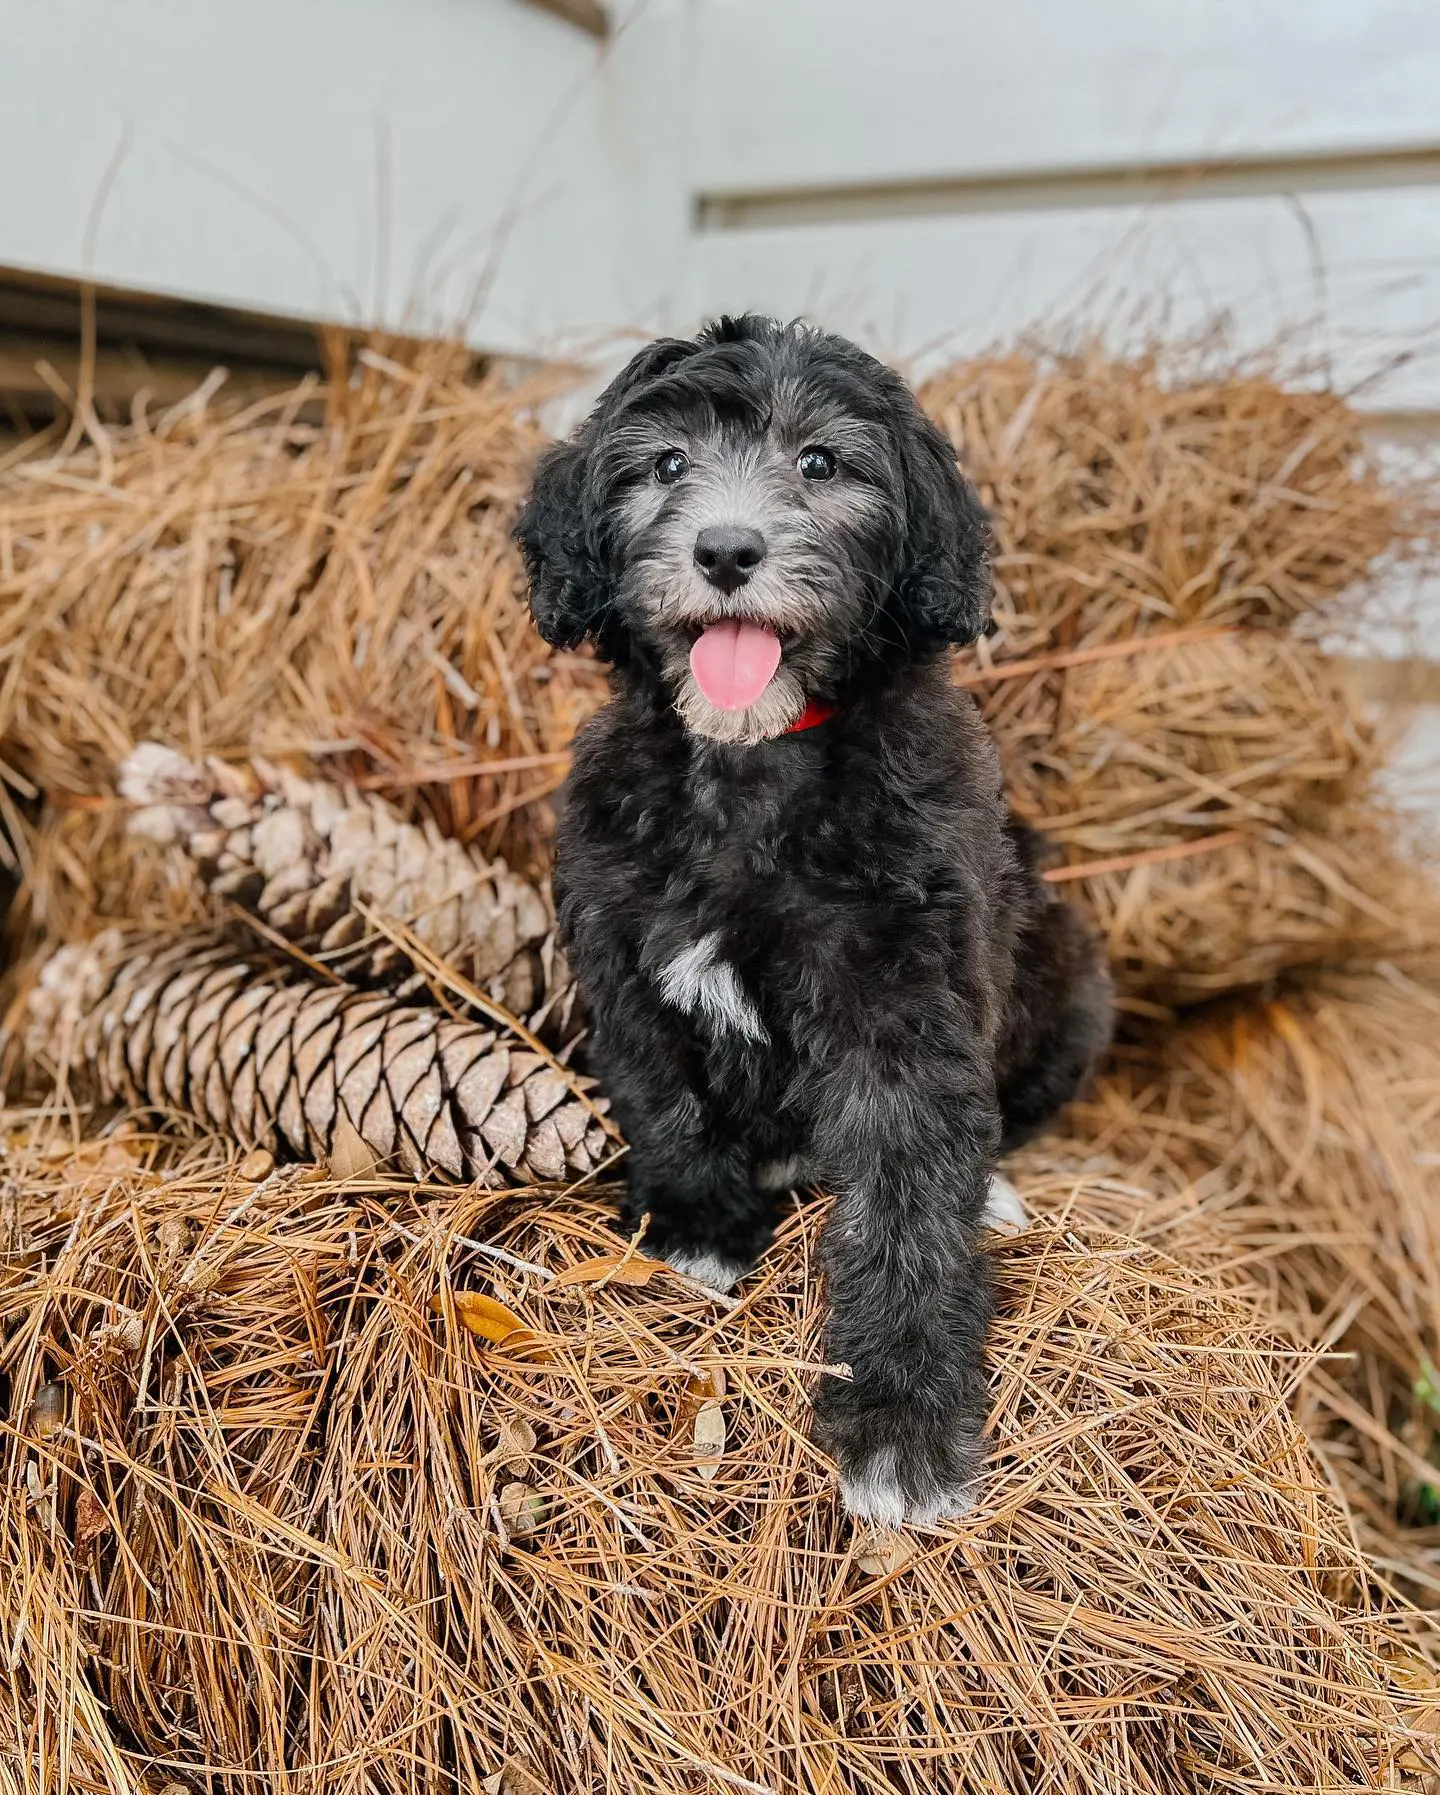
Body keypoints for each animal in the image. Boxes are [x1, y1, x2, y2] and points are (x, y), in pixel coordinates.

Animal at [517, 315, 1113, 1522]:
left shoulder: (904, 1002)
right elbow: (663, 1092)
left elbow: (908, 1197)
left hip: (1073, 982)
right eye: (665, 465)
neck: (752, 757)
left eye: (823, 463)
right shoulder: (622, 951)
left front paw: (900, 1423)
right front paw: (699, 1228)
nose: (726, 552)